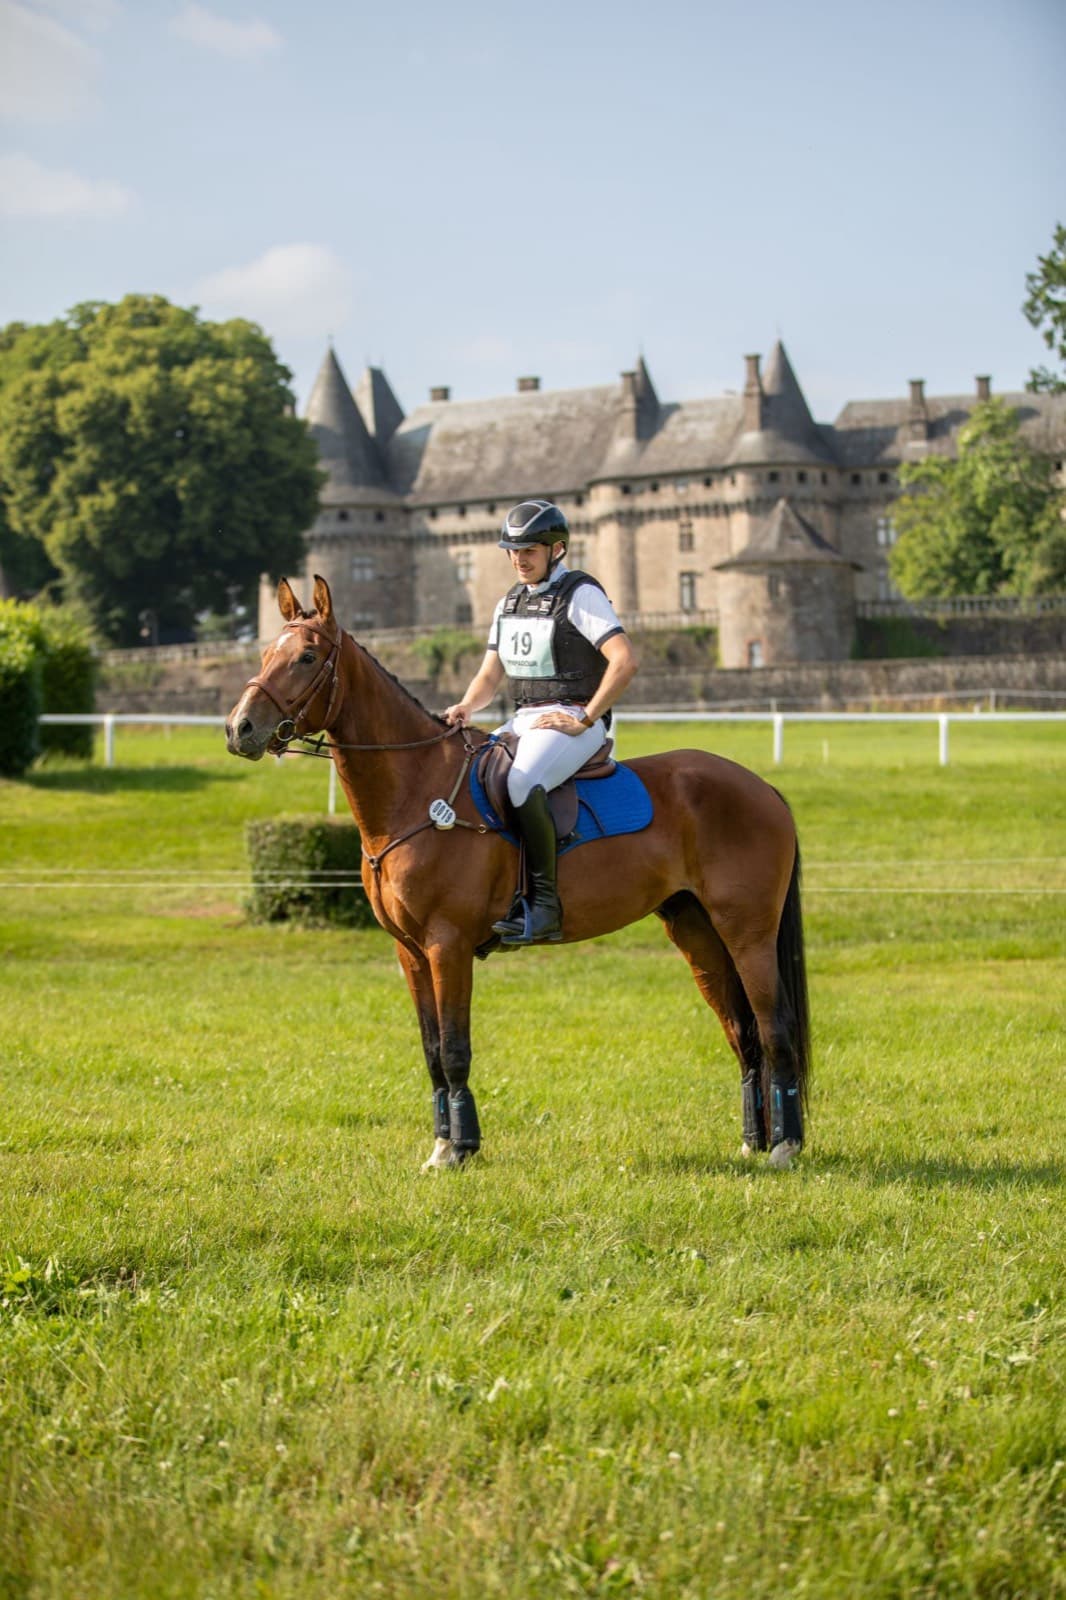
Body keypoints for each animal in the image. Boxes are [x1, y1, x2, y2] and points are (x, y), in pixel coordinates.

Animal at [225, 575, 811, 1172]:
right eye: (265, 653)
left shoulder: (447, 945)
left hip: (747, 933)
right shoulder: (410, 951)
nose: (239, 728)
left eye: (307, 656)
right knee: (741, 1029)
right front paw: (441, 1145)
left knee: (774, 1026)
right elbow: (431, 1051)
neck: (416, 789)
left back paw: (784, 1147)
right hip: (696, 930)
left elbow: (454, 1049)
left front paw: (459, 1149)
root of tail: (761, 787)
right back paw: (753, 1141)